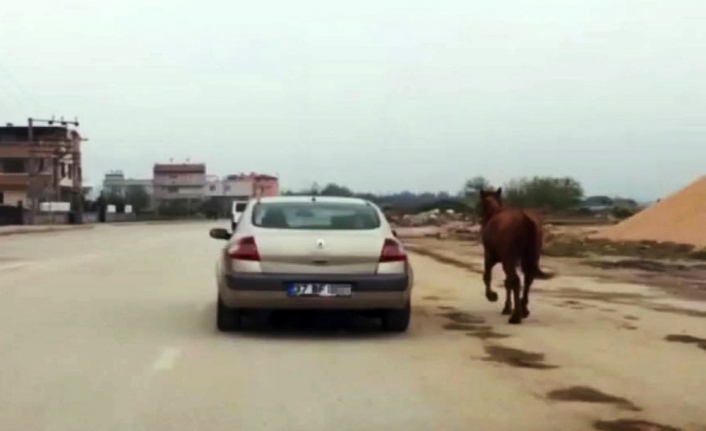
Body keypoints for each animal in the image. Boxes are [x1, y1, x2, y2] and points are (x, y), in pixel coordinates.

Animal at [478, 188, 552, 324]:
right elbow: (507, 282)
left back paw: (516, 316)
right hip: (531, 258)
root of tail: (525, 219)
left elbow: (487, 276)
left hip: (509, 259)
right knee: (527, 279)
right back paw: (524, 310)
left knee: (516, 280)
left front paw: (492, 296)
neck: (495, 211)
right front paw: (507, 307)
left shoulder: (491, 256)